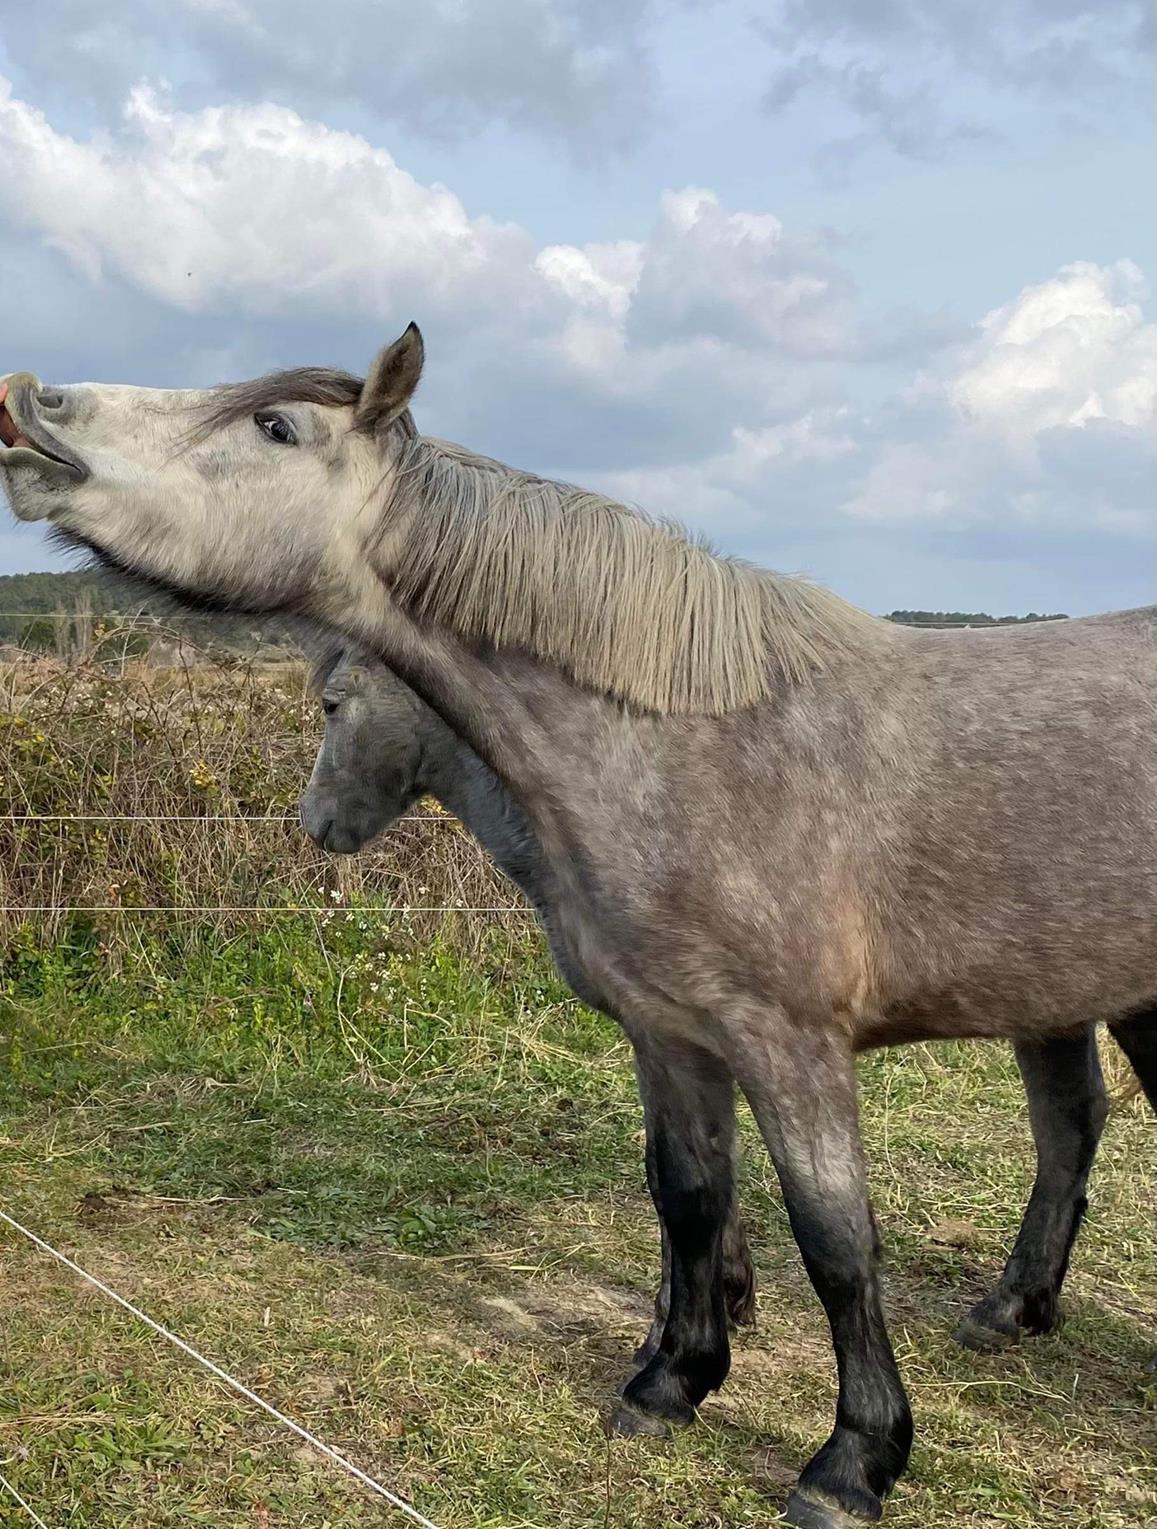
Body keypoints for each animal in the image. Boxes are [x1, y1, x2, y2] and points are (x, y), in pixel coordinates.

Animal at [4, 337, 1149, 1529]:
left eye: (274, 427)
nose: (35, 405)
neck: (687, 748)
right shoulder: (670, 1033)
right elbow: (688, 1197)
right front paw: (671, 1379)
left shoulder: (789, 1046)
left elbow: (834, 1241)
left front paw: (853, 1459)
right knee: (1068, 1125)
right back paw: (1012, 1307)